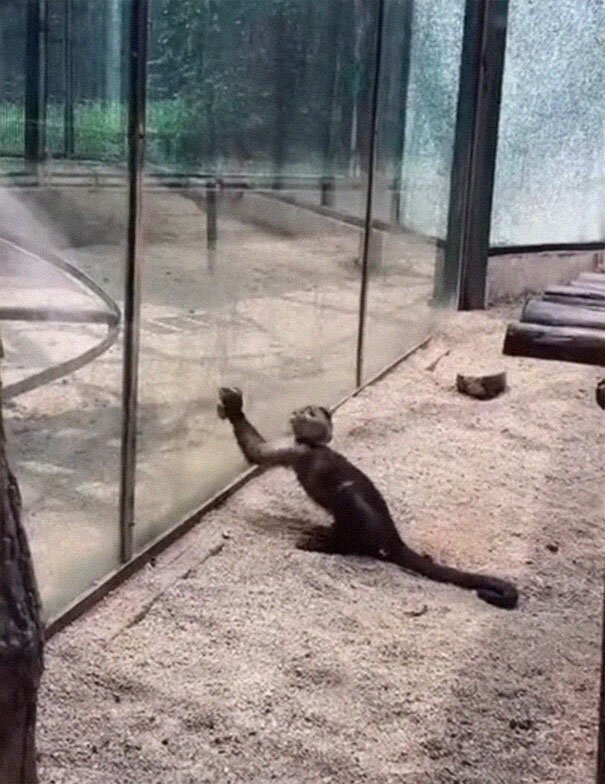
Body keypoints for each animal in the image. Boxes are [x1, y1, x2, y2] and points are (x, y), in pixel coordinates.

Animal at [219, 388, 516, 612]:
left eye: (311, 412)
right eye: (304, 409)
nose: (299, 412)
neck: (314, 448)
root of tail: (393, 537)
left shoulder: (295, 450)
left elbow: (257, 451)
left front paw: (233, 405)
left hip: (349, 505)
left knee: (354, 546)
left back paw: (319, 542)